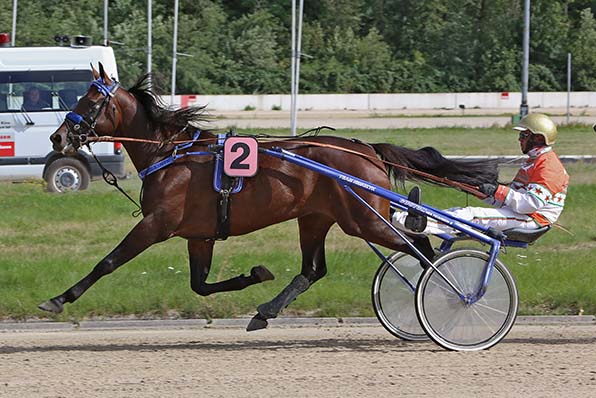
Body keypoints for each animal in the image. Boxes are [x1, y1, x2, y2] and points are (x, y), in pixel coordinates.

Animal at [40, 63, 498, 330]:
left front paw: (58, 299)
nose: (58, 137)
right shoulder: (199, 235)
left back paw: (451, 296)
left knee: (421, 246)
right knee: (313, 270)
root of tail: (365, 149)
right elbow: (200, 286)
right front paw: (257, 274)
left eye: (91, 99)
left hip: (364, 220)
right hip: (315, 218)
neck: (171, 153)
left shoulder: (157, 224)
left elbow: (107, 262)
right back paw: (266, 311)